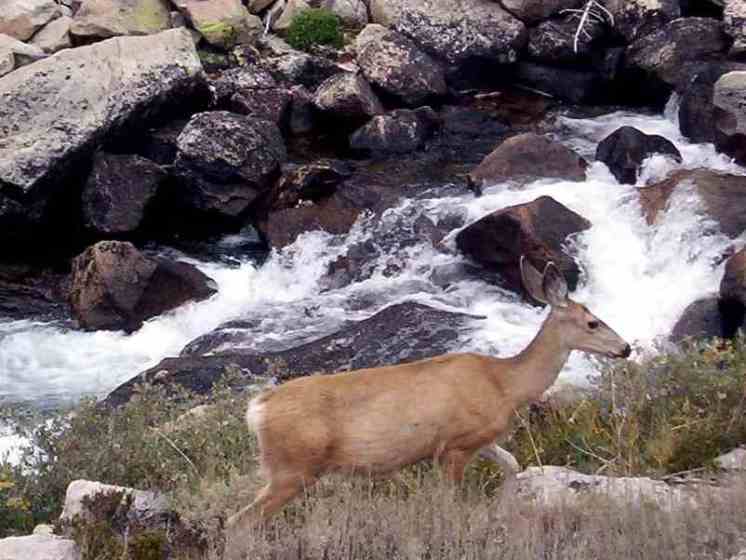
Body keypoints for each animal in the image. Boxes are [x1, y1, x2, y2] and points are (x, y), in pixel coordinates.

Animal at [225, 256, 628, 536]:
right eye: (593, 322)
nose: (624, 348)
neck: (505, 383)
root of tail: (257, 409)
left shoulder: (478, 437)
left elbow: (513, 464)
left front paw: (501, 510)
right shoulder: (454, 446)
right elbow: (450, 503)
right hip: (293, 467)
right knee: (238, 522)